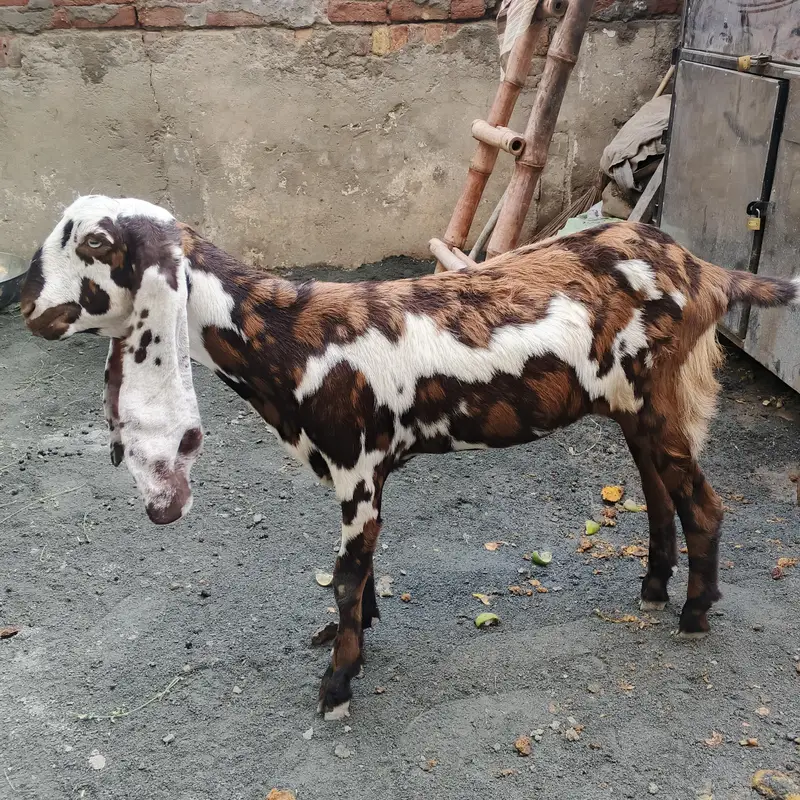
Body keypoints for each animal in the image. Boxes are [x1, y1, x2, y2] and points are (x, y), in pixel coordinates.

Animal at [21, 195, 800, 719]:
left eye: (94, 243)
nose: (28, 308)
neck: (286, 336)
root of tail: (701, 270)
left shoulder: (359, 465)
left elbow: (345, 574)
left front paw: (338, 685)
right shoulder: (358, 474)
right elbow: (361, 572)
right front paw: (351, 637)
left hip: (657, 395)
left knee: (704, 502)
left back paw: (694, 614)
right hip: (632, 407)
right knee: (660, 493)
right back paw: (654, 588)